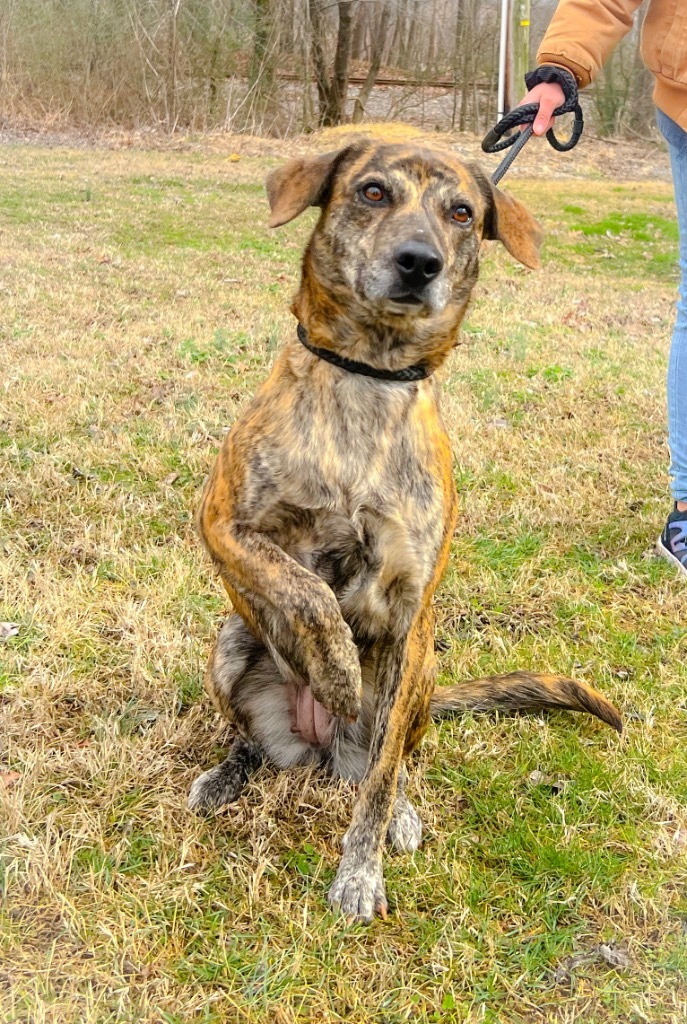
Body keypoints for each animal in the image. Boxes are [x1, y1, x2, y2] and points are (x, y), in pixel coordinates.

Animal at [189, 140, 622, 925]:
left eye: (462, 212)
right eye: (371, 191)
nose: (420, 261)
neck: (368, 374)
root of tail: (322, 749)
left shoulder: (405, 595)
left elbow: (383, 776)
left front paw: (360, 873)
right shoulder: (222, 523)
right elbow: (301, 589)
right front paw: (334, 666)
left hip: (416, 679)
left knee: (387, 764)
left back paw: (400, 808)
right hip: (231, 644)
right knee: (249, 742)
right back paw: (227, 773)